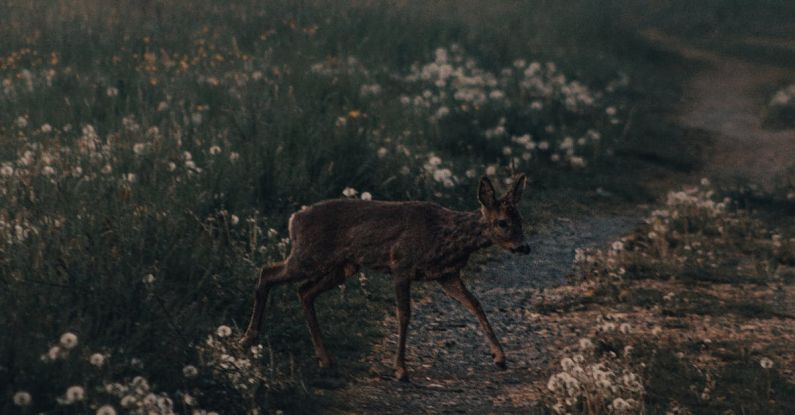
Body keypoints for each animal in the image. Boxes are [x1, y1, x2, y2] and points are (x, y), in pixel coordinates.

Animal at [239, 174, 532, 382]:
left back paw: (325, 359)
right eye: (502, 222)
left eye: (521, 219)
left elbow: (475, 304)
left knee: (304, 292)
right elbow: (404, 314)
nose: (524, 247)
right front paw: (401, 370)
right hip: (308, 256)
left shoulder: (447, 275)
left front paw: (500, 357)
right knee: (267, 273)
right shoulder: (401, 265)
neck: (446, 236)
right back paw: (248, 339)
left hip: (342, 266)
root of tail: (293, 219)